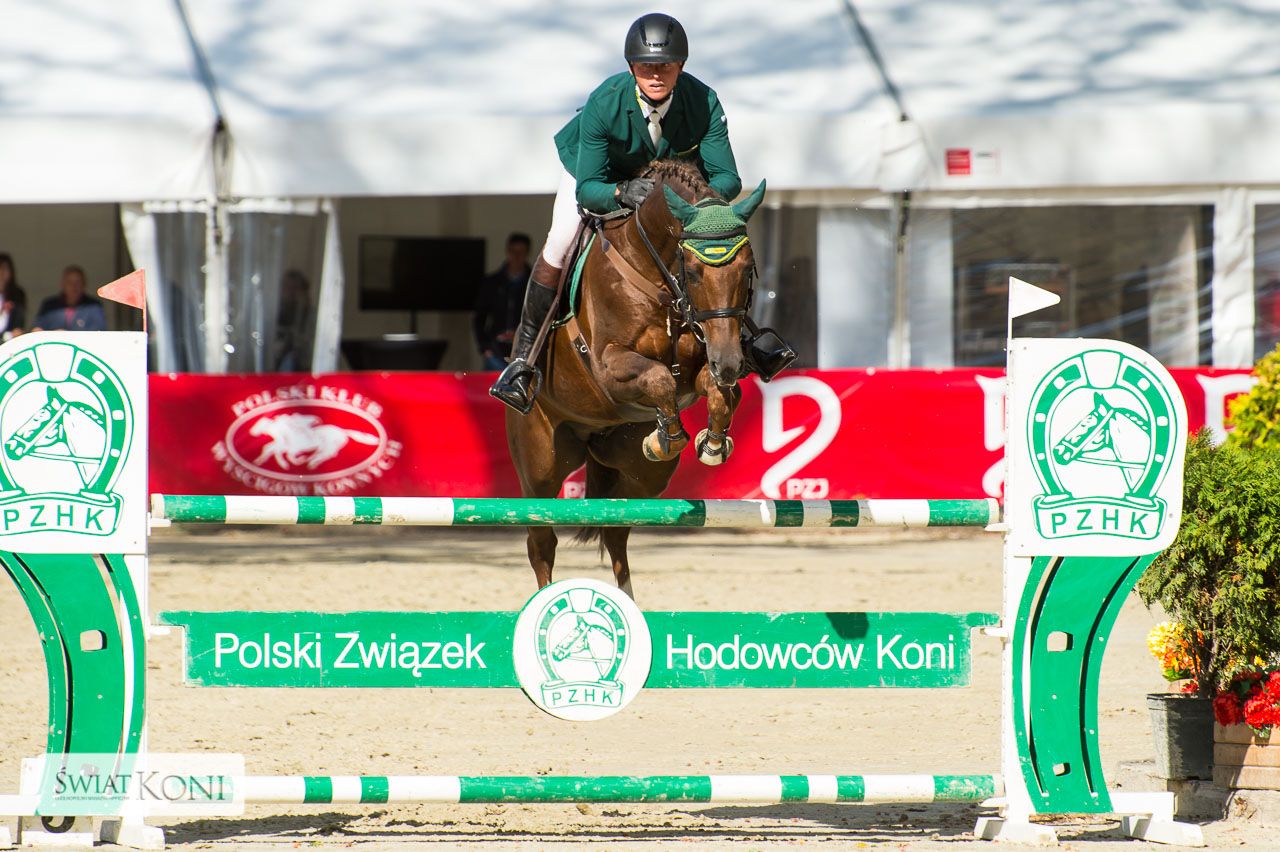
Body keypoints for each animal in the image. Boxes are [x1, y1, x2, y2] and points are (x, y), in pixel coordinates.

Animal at [506, 159, 766, 597]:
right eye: (693, 271)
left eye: (748, 270)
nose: (730, 363)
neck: (656, 276)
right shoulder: (608, 365)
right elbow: (659, 378)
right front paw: (671, 437)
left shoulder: (698, 368)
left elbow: (716, 393)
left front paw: (712, 442)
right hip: (540, 465)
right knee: (541, 542)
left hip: (642, 475)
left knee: (616, 532)